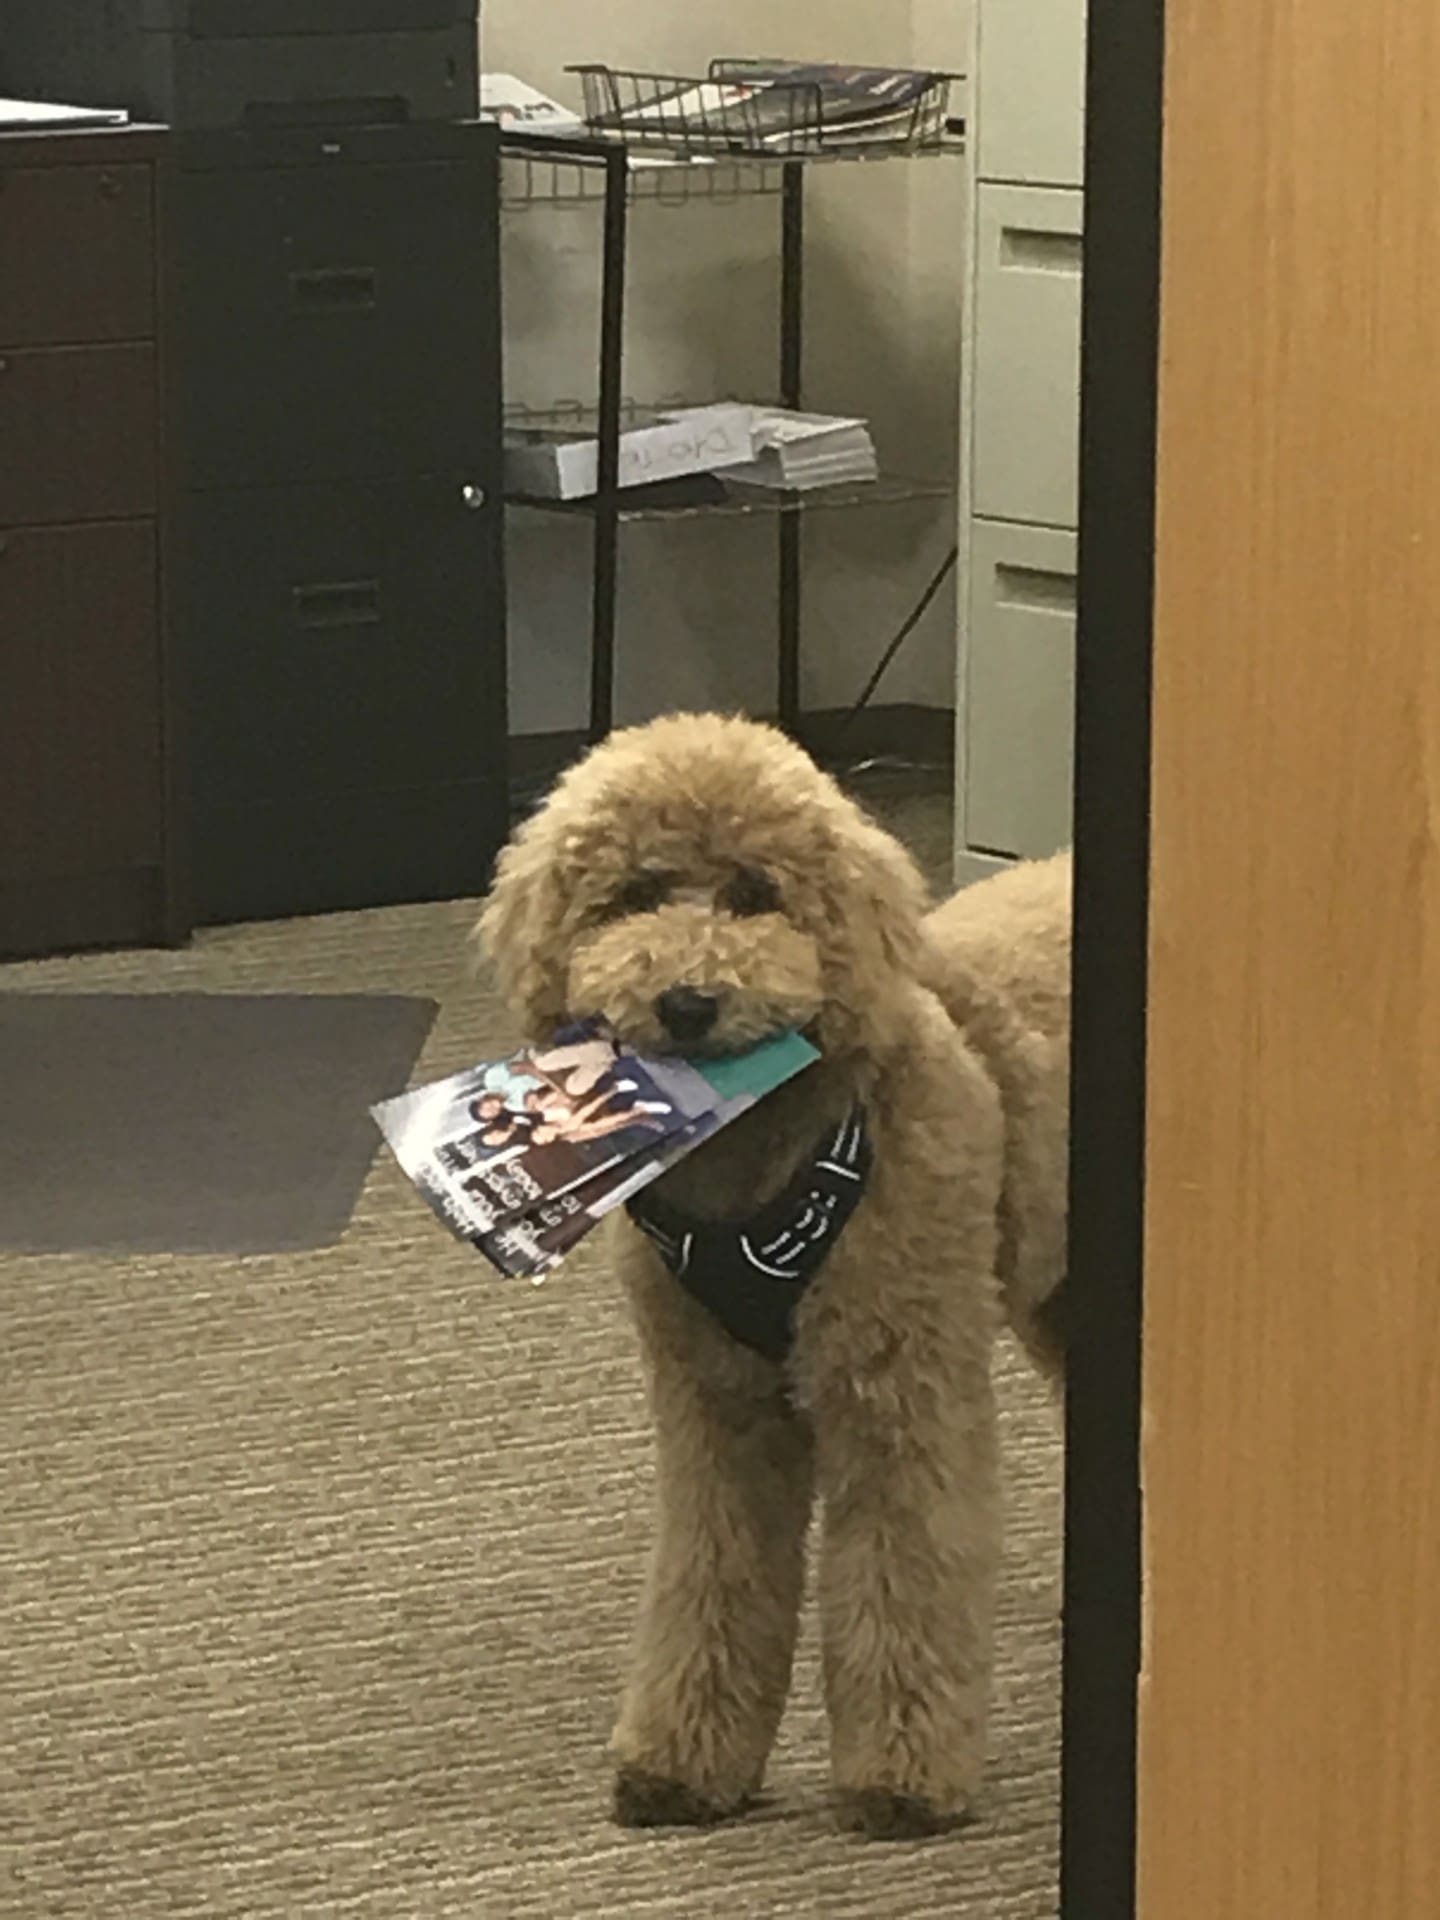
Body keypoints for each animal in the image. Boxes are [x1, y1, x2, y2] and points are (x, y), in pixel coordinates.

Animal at [480, 714, 1075, 1835]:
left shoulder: (896, 1384)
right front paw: (681, 1763)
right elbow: (711, 1577)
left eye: (756, 894)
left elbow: (902, 1572)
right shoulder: (713, 1408)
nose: (688, 1000)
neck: (751, 1170)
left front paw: (900, 1779)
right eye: (635, 896)